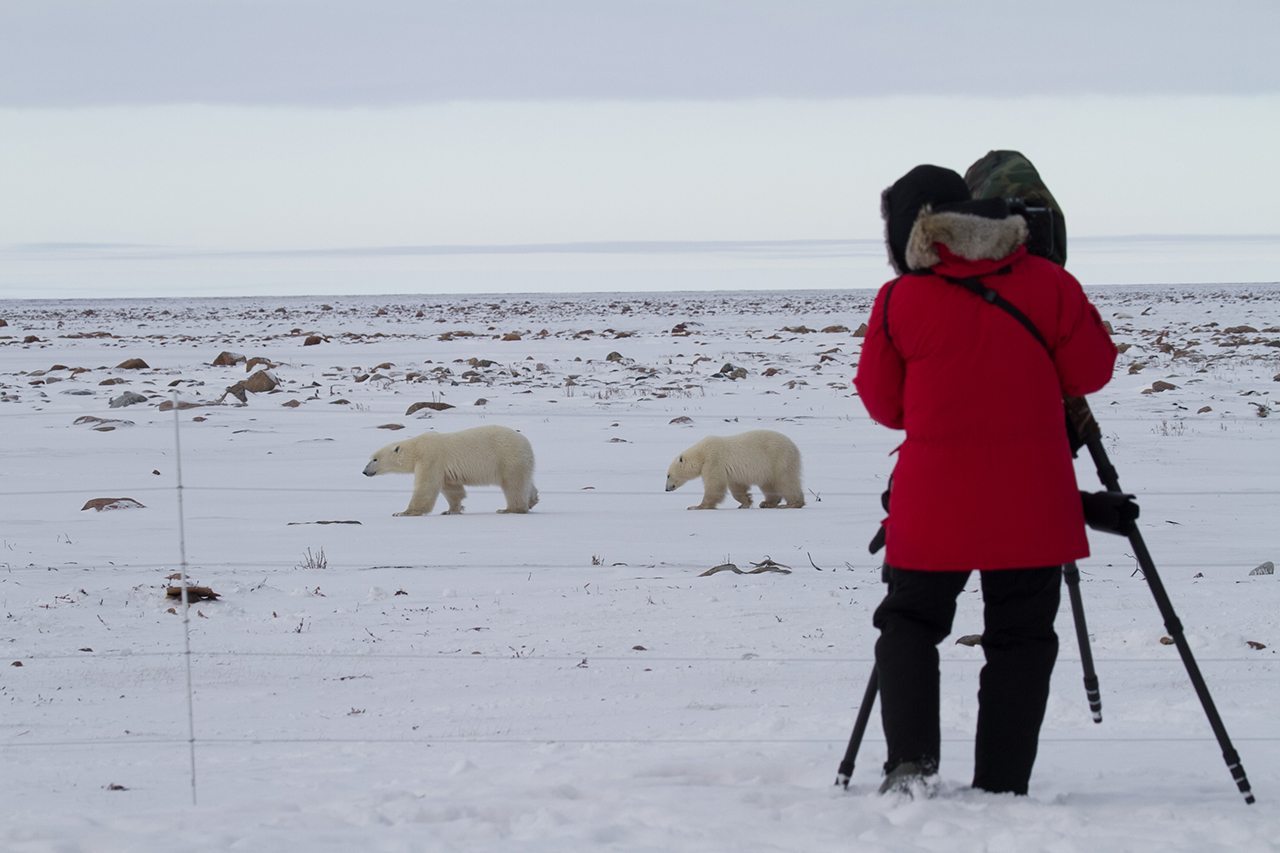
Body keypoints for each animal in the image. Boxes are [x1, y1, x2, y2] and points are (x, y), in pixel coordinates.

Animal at [363, 422, 537, 514]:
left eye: (374, 459)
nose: (364, 471)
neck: (416, 448)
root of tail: (527, 443)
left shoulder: (430, 457)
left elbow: (426, 486)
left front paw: (403, 512)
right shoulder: (443, 468)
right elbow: (452, 488)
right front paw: (451, 510)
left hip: (507, 458)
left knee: (513, 485)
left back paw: (510, 509)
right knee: (527, 482)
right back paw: (532, 500)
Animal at [665, 427, 803, 507]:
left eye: (668, 475)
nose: (666, 489)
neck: (702, 454)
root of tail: (794, 447)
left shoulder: (714, 460)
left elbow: (715, 485)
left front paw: (697, 506)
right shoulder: (731, 471)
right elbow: (737, 486)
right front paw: (746, 501)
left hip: (779, 459)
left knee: (786, 481)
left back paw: (793, 503)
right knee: (768, 484)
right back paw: (767, 503)